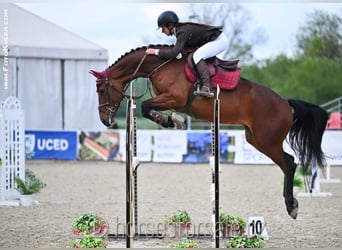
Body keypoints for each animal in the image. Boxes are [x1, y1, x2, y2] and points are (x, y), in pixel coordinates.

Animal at [90, 45, 328, 219]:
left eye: (101, 89)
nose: (105, 120)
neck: (159, 66)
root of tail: (286, 104)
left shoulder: (174, 98)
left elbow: (145, 106)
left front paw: (170, 120)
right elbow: (147, 108)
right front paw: (172, 120)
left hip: (266, 140)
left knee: (289, 164)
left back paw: (291, 206)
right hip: (255, 139)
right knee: (289, 162)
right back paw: (292, 204)